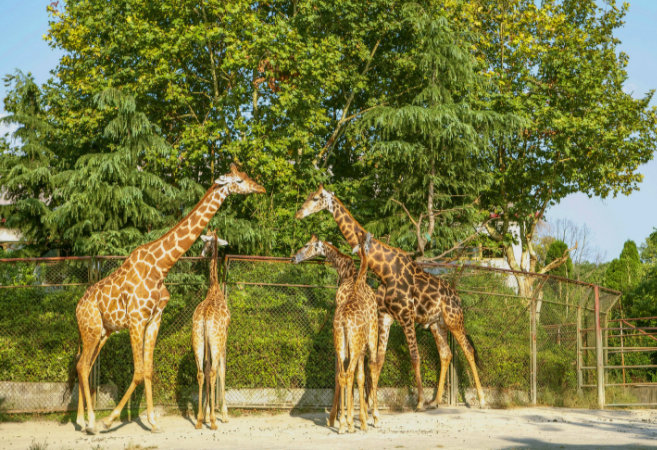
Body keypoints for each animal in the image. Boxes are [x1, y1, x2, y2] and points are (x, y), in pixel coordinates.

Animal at [72, 163, 264, 434]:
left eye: (247, 176)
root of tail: (78, 306)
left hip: (101, 332)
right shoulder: (136, 319)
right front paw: (110, 419)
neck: (161, 266)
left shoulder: (154, 320)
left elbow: (148, 370)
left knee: (84, 366)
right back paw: (91, 422)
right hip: (90, 329)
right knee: (82, 366)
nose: (261, 188)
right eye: (239, 180)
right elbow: (139, 371)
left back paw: (81, 420)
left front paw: (152, 422)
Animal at [294, 184, 484, 412]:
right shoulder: (385, 316)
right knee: (446, 354)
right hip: (436, 323)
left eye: (315, 198)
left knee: (468, 350)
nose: (298, 213)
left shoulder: (406, 315)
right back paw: (436, 401)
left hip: (454, 319)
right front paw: (369, 403)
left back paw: (481, 399)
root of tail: (457, 297)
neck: (383, 271)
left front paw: (419, 402)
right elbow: (378, 360)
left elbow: (414, 357)